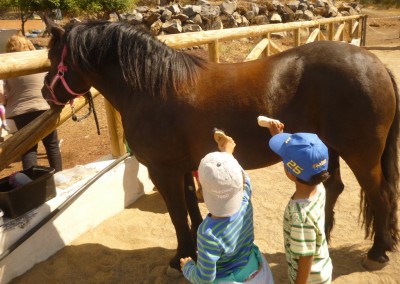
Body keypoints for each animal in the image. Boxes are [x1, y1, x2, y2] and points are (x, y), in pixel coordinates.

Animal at [41, 18, 400, 272]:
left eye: (52, 56)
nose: (46, 91)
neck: (152, 88)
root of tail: (377, 65)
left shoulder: (162, 171)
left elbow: (176, 215)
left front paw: (179, 259)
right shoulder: (183, 168)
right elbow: (190, 208)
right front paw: (196, 251)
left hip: (360, 154)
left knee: (380, 194)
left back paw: (377, 252)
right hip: (329, 148)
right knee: (335, 188)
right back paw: (322, 238)